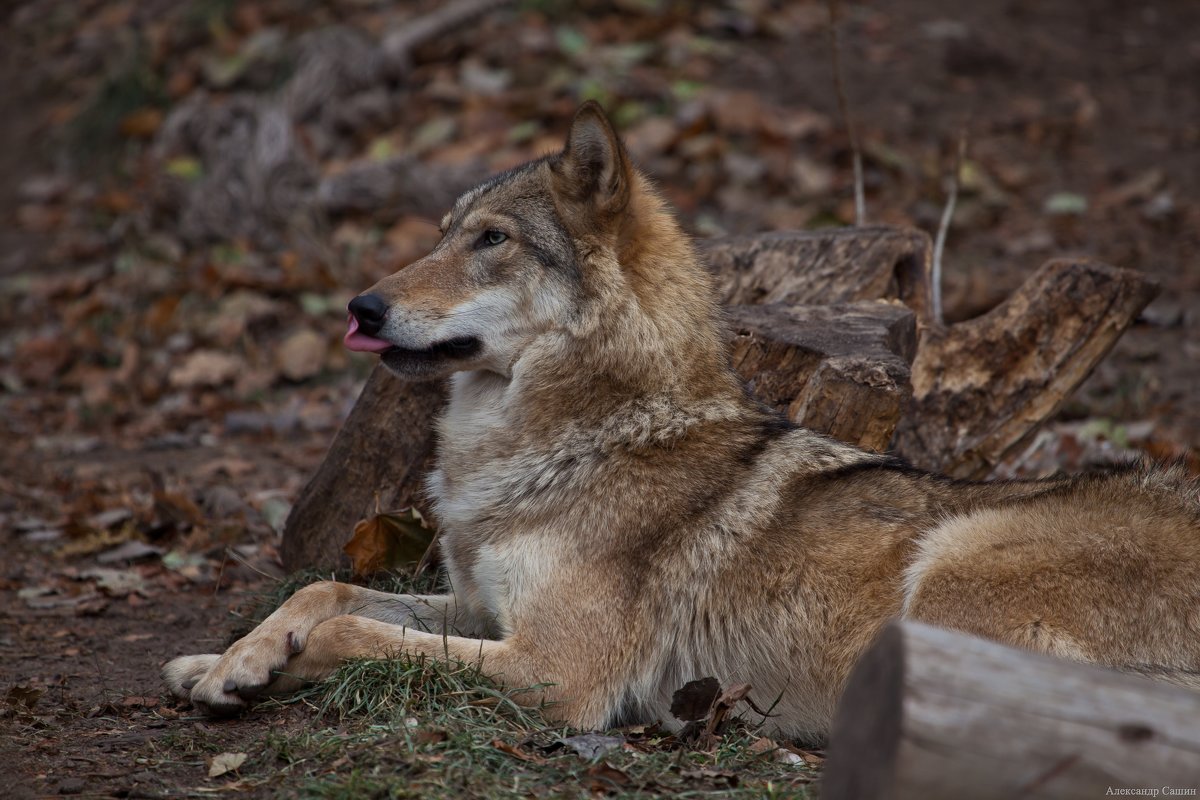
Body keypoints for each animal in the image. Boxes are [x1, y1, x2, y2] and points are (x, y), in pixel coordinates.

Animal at [164, 103, 1200, 743]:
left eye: (492, 241)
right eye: (443, 234)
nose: (362, 306)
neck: (571, 437)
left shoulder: (557, 671)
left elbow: (349, 633)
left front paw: (276, 666)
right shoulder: (482, 607)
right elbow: (323, 592)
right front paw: (230, 662)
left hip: (950, 565)